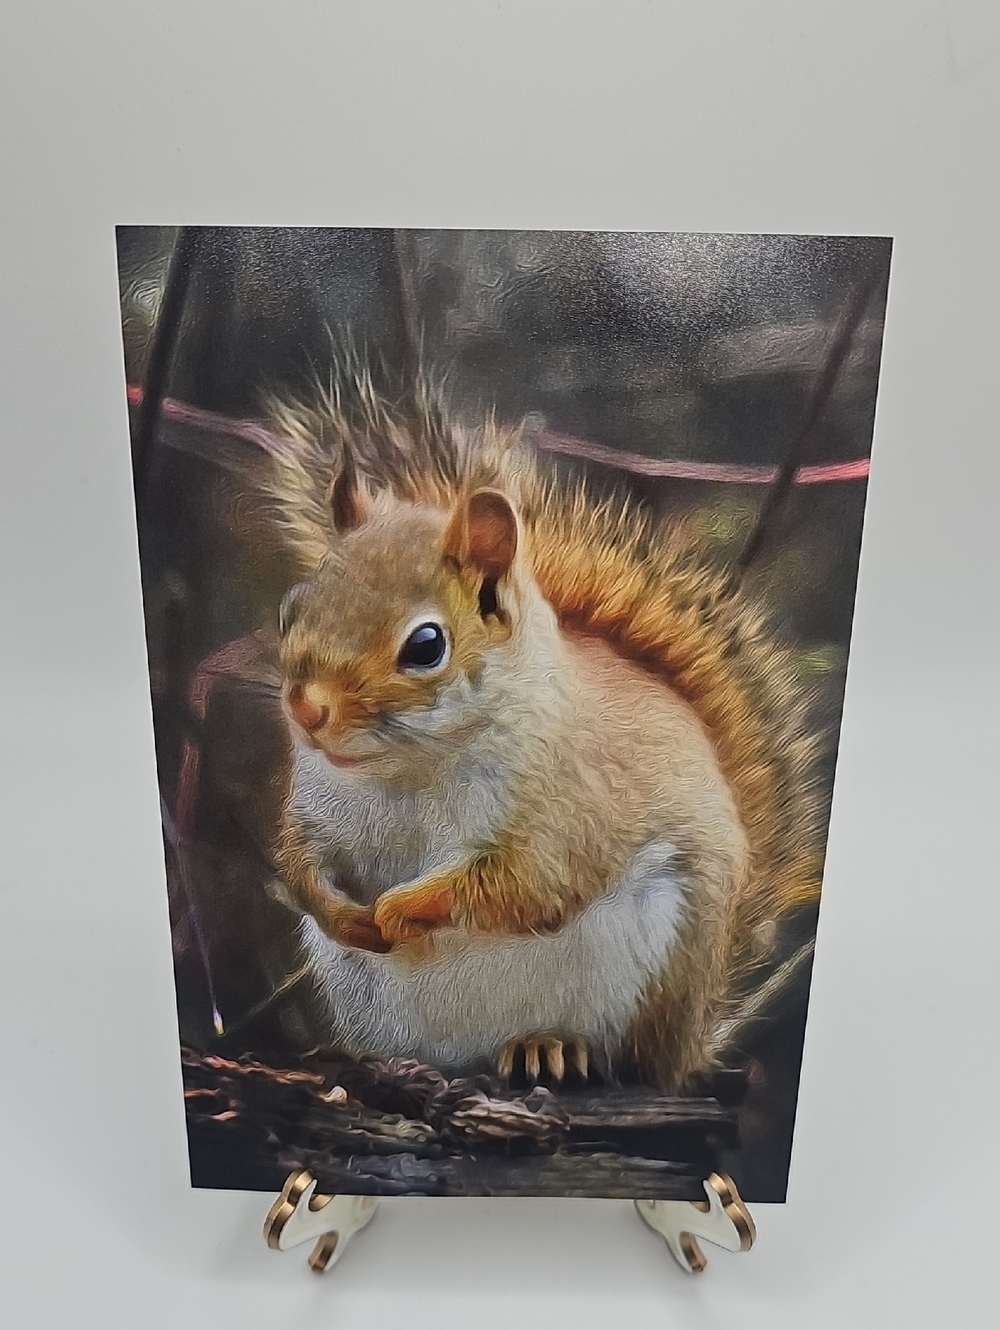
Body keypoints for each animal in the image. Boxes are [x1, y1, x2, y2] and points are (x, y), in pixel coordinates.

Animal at [255, 370, 823, 1093]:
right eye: (290, 610)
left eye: (425, 646)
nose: (307, 710)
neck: (409, 767)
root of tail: (687, 1043)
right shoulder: (314, 806)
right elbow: (299, 861)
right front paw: (346, 915)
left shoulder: (567, 810)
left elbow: (524, 887)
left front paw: (401, 910)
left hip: (651, 972)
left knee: (619, 1058)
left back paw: (548, 1046)